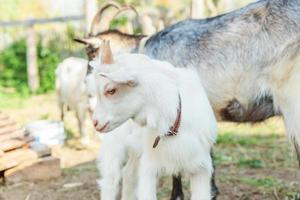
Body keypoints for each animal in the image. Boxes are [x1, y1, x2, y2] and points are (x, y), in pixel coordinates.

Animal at [90, 41, 217, 200]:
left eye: (111, 90)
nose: (95, 122)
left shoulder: (201, 169)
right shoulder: (149, 169)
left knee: (129, 175)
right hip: (115, 144)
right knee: (110, 180)